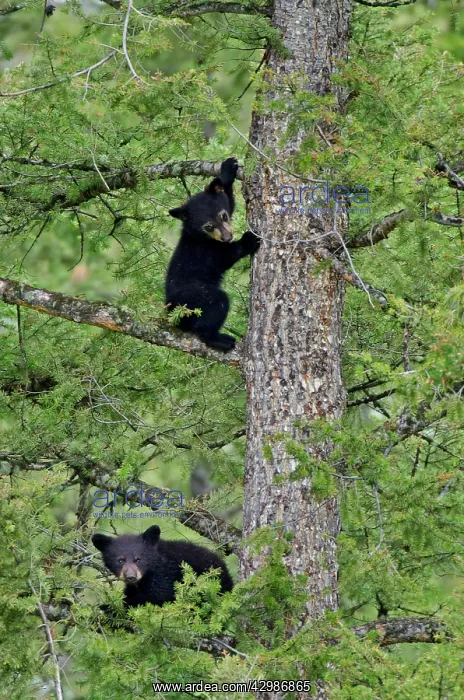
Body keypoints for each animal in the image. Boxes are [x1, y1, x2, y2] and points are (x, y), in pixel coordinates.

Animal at [92, 524, 233, 608]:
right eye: (120, 560)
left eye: (138, 559)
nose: (131, 577)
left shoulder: (164, 575)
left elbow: (158, 596)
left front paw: (108, 608)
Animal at [165, 157, 260, 352]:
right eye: (208, 226)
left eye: (223, 216)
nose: (227, 237)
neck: (199, 236)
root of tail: (172, 309)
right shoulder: (204, 250)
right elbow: (224, 258)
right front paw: (248, 240)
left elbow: (229, 199)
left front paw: (227, 171)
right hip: (195, 297)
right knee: (215, 307)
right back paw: (220, 340)